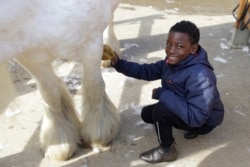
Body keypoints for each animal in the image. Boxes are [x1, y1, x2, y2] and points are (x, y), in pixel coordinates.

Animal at [0, 0, 121, 162]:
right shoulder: (32, 59)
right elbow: (50, 95)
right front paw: (59, 141)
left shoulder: (91, 44)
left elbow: (93, 86)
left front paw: (99, 132)